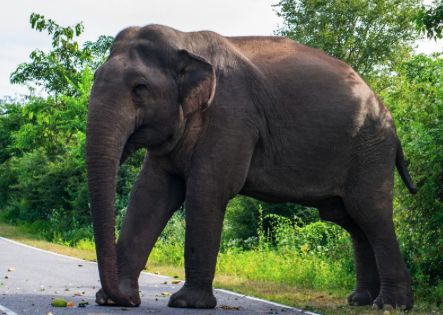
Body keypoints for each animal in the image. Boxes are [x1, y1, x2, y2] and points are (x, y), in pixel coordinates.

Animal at [86, 24, 416, 312]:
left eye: (139, 88)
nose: (131, 301)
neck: (186, 39)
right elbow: (150, 193)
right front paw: (112, 300)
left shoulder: (232, 116)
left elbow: (207, 190)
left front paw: (186, 304)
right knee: (350, 219)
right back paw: (360, 300)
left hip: (370, 151)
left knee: (369, 212)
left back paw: (391, 305)